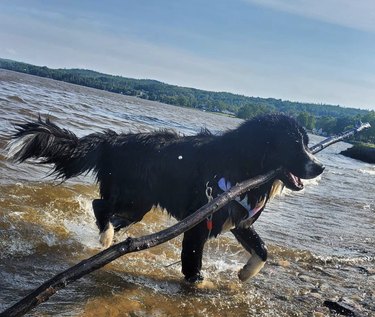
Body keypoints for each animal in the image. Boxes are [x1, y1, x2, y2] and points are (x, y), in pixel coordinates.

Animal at [8, 113, 326, 282]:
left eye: (307, 143)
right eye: (293, 144)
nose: (320, 166)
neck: (243, 164)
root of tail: (113, 140)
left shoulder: (238, 220)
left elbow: (262, 249)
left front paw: (245, 274)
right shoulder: (199, 223)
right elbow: (193, 264)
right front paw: (198, 286)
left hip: (137, 206)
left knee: (111, 214)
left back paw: (112, 235)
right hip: (131, 197)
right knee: (100, 206)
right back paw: (106, 238)